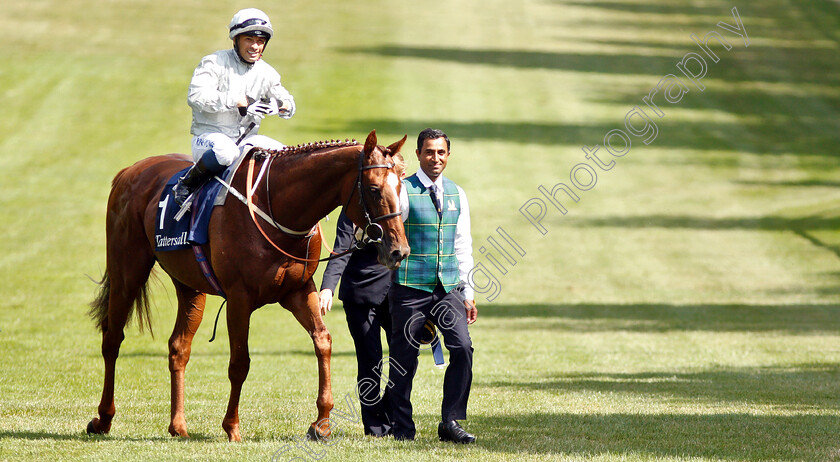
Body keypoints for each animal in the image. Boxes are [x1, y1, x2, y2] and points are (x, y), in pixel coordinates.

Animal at [86, 129, 410, 440]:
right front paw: (231, 426)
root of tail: (130, 171)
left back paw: (178, 425)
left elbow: (323, 342)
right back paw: (103, 418)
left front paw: (321, 424)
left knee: (178, 347)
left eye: (401, 188)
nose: (399, 251)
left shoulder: (298, 290)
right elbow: (240, 362)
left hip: (190, 285)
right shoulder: (240, 298)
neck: (277, 207)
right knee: (112, 340)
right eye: (373, 189)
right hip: (127, 274)